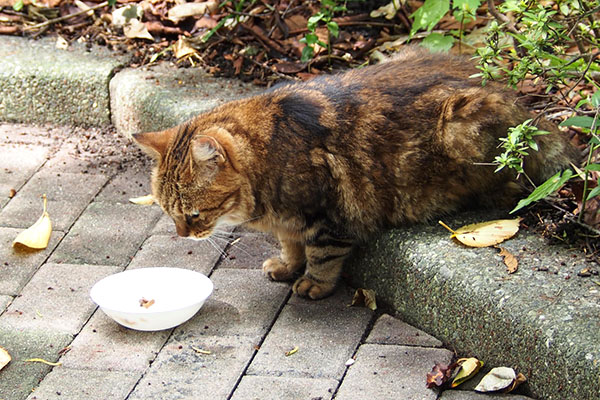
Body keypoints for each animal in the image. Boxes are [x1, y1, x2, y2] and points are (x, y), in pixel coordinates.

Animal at [134, 45, 580, 298]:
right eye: (169, 213)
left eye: (193, 214)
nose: (181, 234)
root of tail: (526, 107)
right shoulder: (289, 222)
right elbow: (290, 245)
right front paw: (286, 266)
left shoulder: (328, 216)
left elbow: (322, 254)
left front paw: (313, 283)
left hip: (464, 128)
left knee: (513, 186)